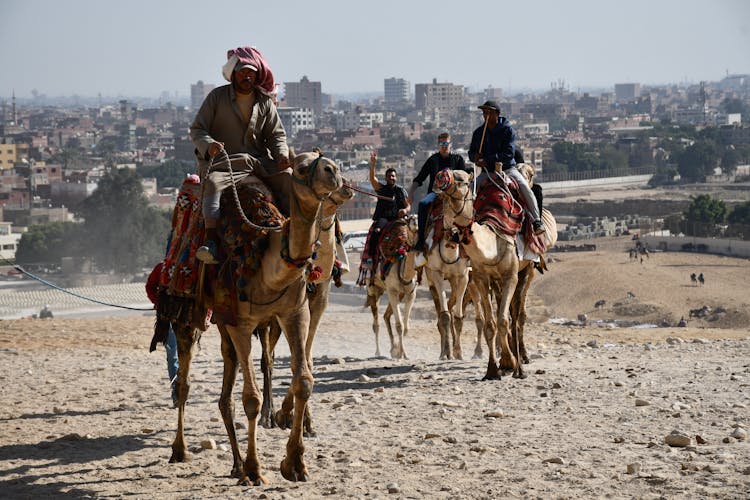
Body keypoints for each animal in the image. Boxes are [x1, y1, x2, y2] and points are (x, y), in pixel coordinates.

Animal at [169, 150, 342, 486]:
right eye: (302, 168)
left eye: (328, 161)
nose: (334, 172)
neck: (264, 256)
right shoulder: (242, 323)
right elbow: (251, 398)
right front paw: (255, 468)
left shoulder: (295, 312)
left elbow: (304, 380)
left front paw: (295, 464)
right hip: (187, 311)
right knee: (184, 382)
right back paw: (181, 451)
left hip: (225, 321)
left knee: (226, 384)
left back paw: (235, 465)